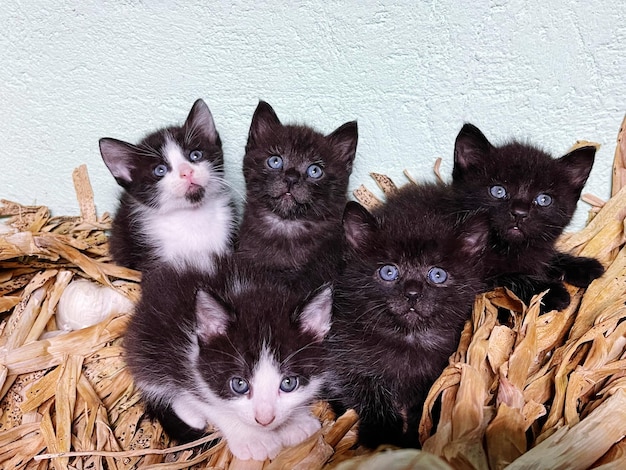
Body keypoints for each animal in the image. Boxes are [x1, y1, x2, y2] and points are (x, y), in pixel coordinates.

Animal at [123, 258, 334, 460]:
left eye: (289, 383)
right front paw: (254, 439)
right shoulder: (191, 366)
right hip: (148, 352)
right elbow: (210, 403)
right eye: (239, 384)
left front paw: (296, 423)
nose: (264, 420)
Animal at [324, 183, 490, 448]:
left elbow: (427, 403)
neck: (409, 339)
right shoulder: (342, 354)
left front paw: (416, 437)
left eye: (437, 275)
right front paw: (382, 434)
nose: (412, 293)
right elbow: (362, 389)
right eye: (389, 271)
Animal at [450, 123, 604, 310]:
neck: (508, 249)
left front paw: (582, 265)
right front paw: (551, 292)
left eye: (544, 199)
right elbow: (509, 276)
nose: (519, 213)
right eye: (498, 191)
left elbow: (546, 257)